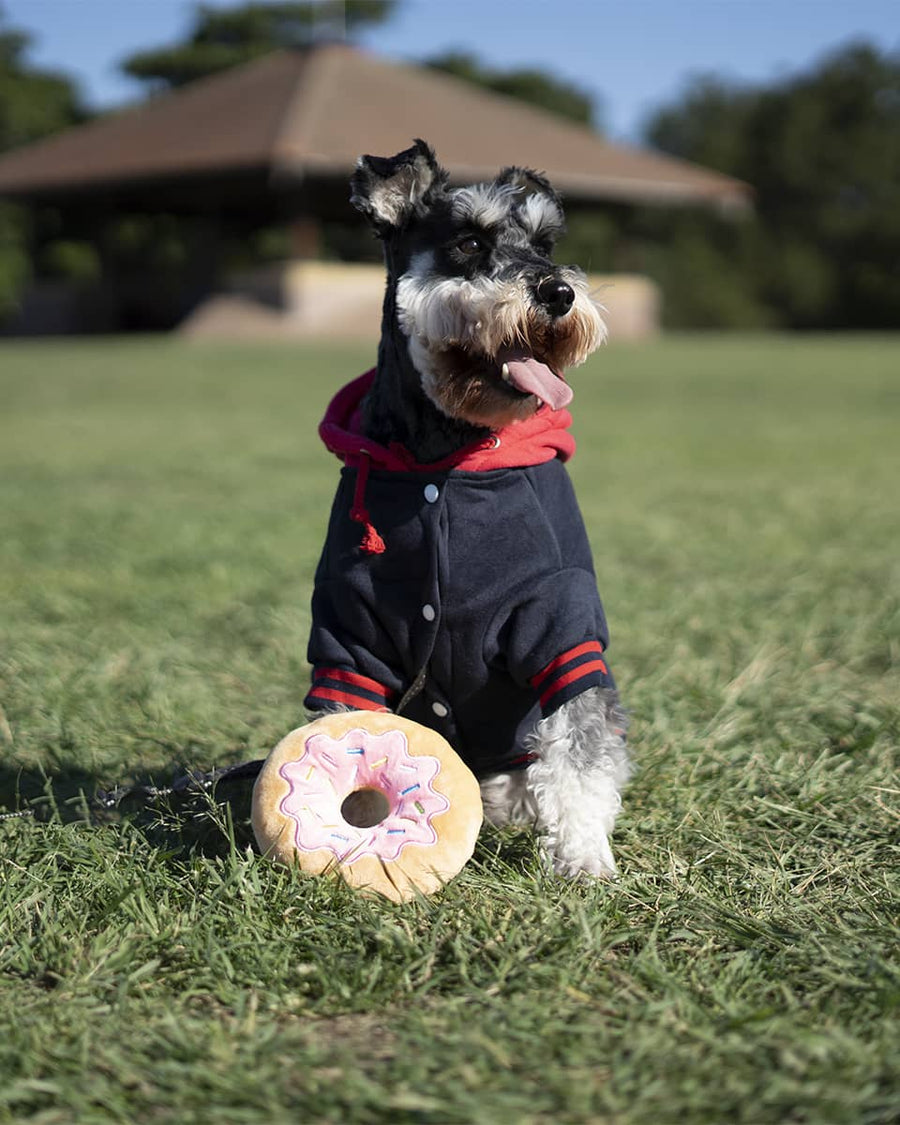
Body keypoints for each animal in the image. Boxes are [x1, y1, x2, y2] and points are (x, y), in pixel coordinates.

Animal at [306, 142, 630, 877]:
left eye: (544, 244)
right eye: (469, 242)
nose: (558, 292)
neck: (443, 460)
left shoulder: (559, 621)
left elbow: (581, 750)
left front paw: (584, 856)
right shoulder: (349, 635)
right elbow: (339, 725)